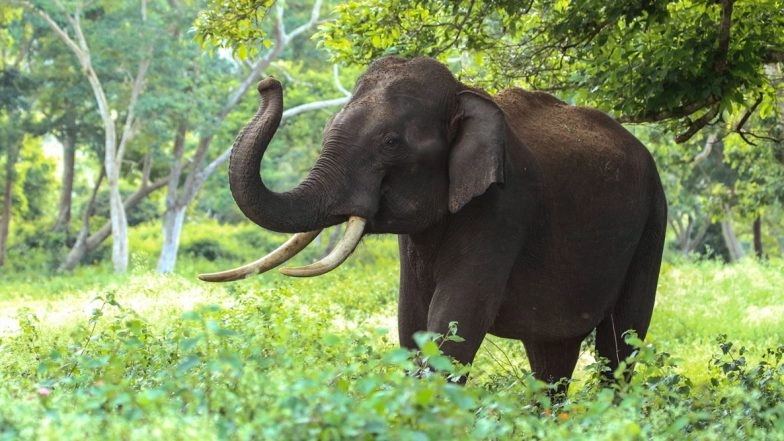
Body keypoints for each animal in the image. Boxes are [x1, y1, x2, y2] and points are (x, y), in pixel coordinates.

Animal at [200, 56, 667, 393]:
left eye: (390, 142)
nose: (268, 83)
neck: (464, 93)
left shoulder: (503, 208)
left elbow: (454, 322)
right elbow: (412, 321)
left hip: (653, 222)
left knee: (621, 342)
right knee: (551, 356)